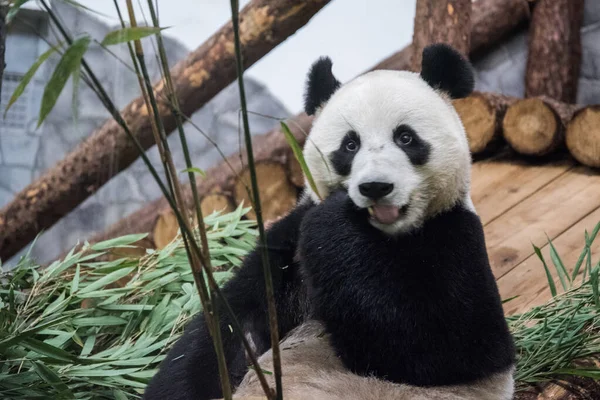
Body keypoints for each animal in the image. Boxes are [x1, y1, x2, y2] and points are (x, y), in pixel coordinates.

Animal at [145, 43, 516, 400]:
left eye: (406, 138)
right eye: (350, 144)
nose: (375, 187)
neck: (382, 235)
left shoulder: (453, 234)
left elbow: (446, 346)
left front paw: (336, 222)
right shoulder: (286, 253)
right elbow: (231, 327)